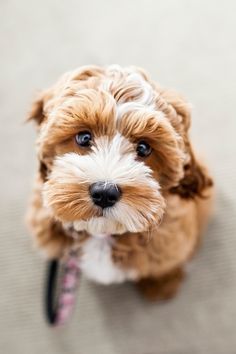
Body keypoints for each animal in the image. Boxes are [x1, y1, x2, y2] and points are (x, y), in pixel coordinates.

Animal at [26, 65, 214, 300]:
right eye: (83, 138)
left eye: (143, 148)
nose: (105, 193)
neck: (103, 234)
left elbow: (166, 263)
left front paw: (163, 284)